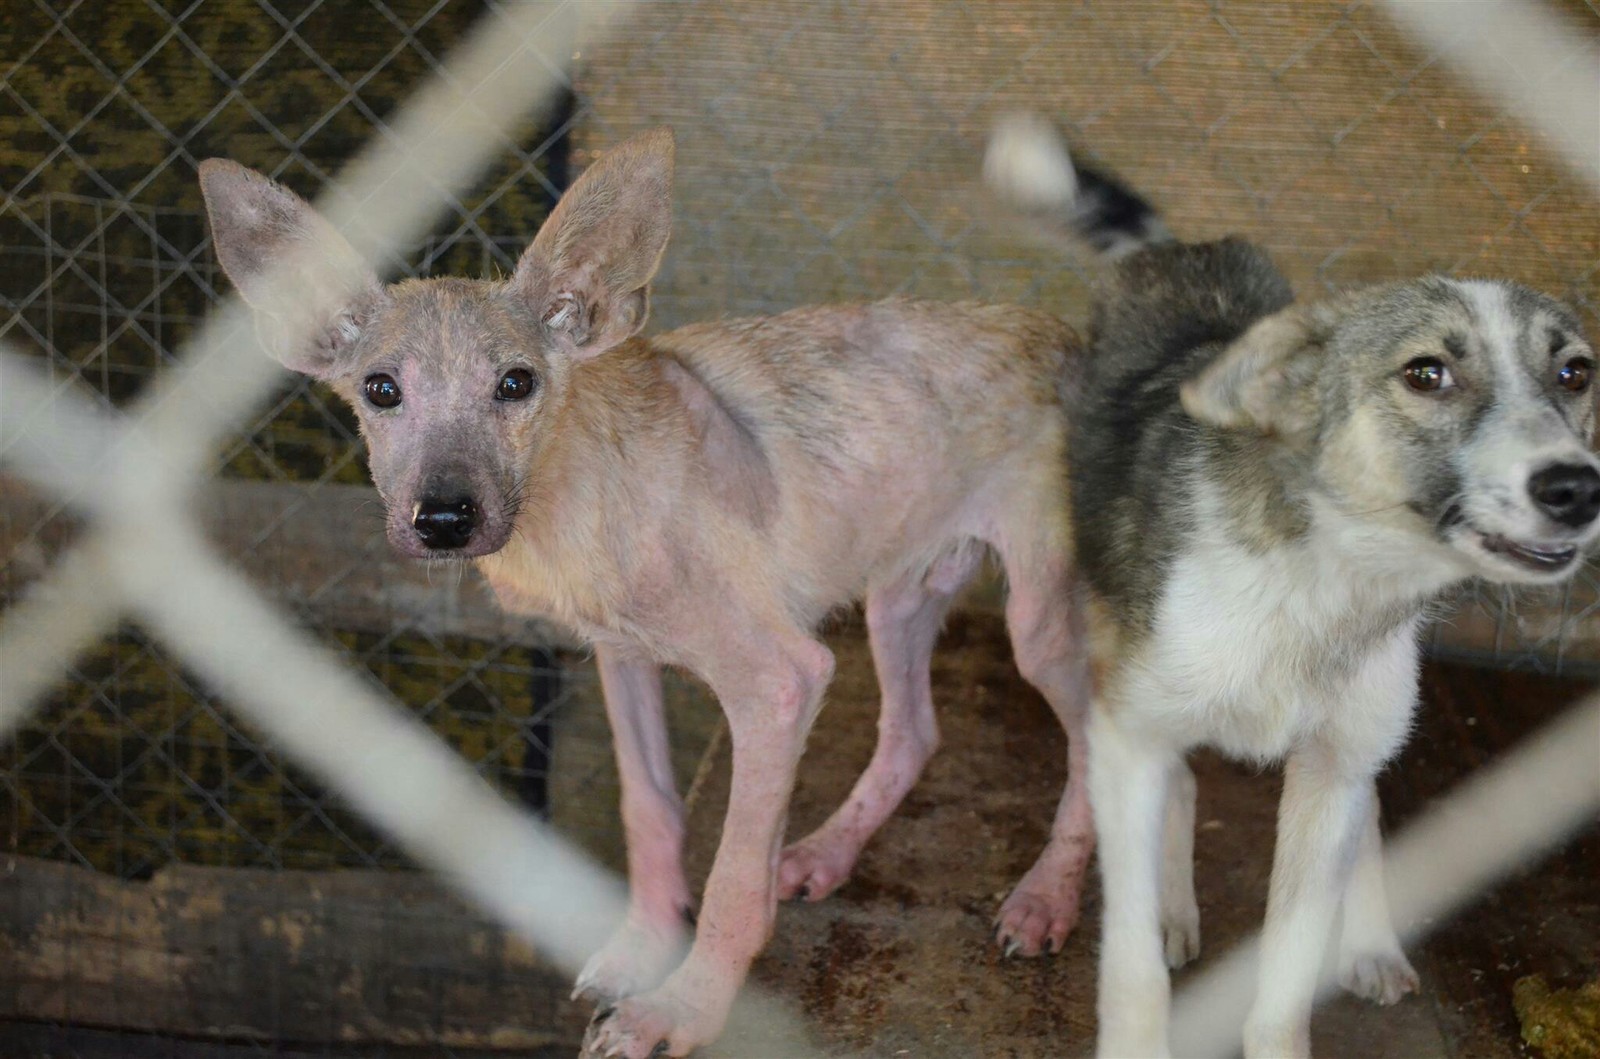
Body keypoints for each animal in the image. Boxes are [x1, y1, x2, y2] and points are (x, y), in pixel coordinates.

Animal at [200, 128, 1100, 1055]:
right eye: (382, 390)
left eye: (516, 383)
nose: (444, 517)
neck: (578, 496)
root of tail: (1069, 336)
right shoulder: (620, 655)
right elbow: (650, 808)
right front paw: (643, 948)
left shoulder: (781, 680)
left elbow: (734, 878)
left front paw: (683, 1008)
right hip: (900, 589)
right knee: (914, 732)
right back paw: (826, 853)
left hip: (1041, 624)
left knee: (1099, 742)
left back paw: (1047, 897)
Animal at [985, 118, 1600, 1059]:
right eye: (1426, 373)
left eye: (1574, 374)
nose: (1578, 488)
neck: (1324, 581)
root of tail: (1183, 251)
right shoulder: (1129, 736)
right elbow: (1131, 965)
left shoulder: (1331, 769)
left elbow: (1286, 970)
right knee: (1179, 786)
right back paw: (1175, 905)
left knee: (1366, 809)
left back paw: (1372, 942)